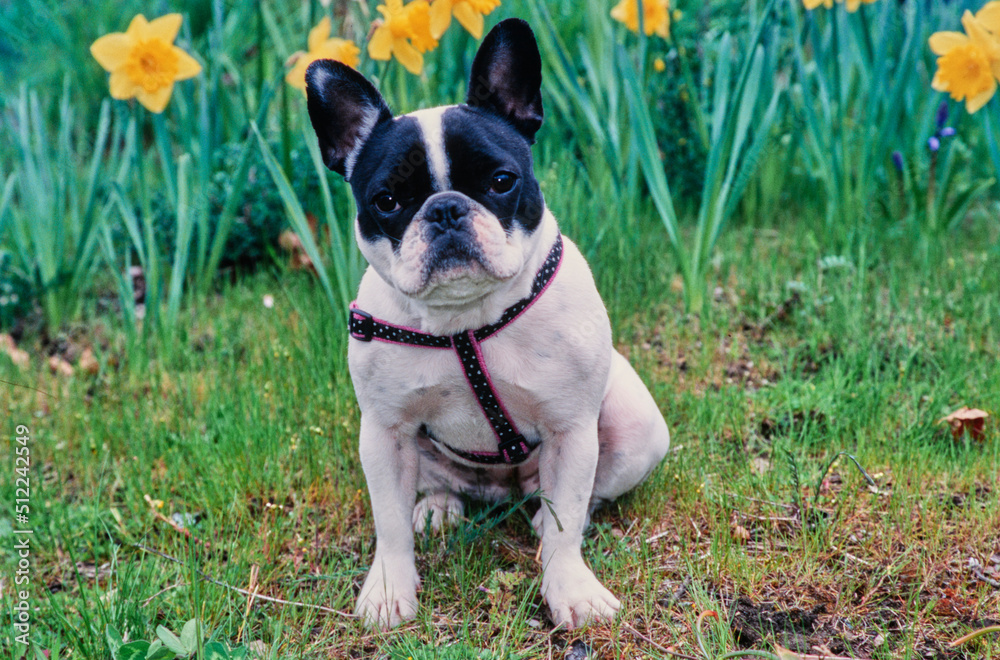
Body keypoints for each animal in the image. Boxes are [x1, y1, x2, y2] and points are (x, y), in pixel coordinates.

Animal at [300, 18, 668, 632]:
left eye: (500, 181)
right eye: (387, 200)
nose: (446, 210)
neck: (465, 321)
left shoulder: (571, 429)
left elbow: (568, 517)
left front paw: (571, 589)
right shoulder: (384, 432)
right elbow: (388, 522)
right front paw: (389, 589)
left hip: (637, 425)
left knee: (579, 497)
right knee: (431, 487)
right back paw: (438, 508)